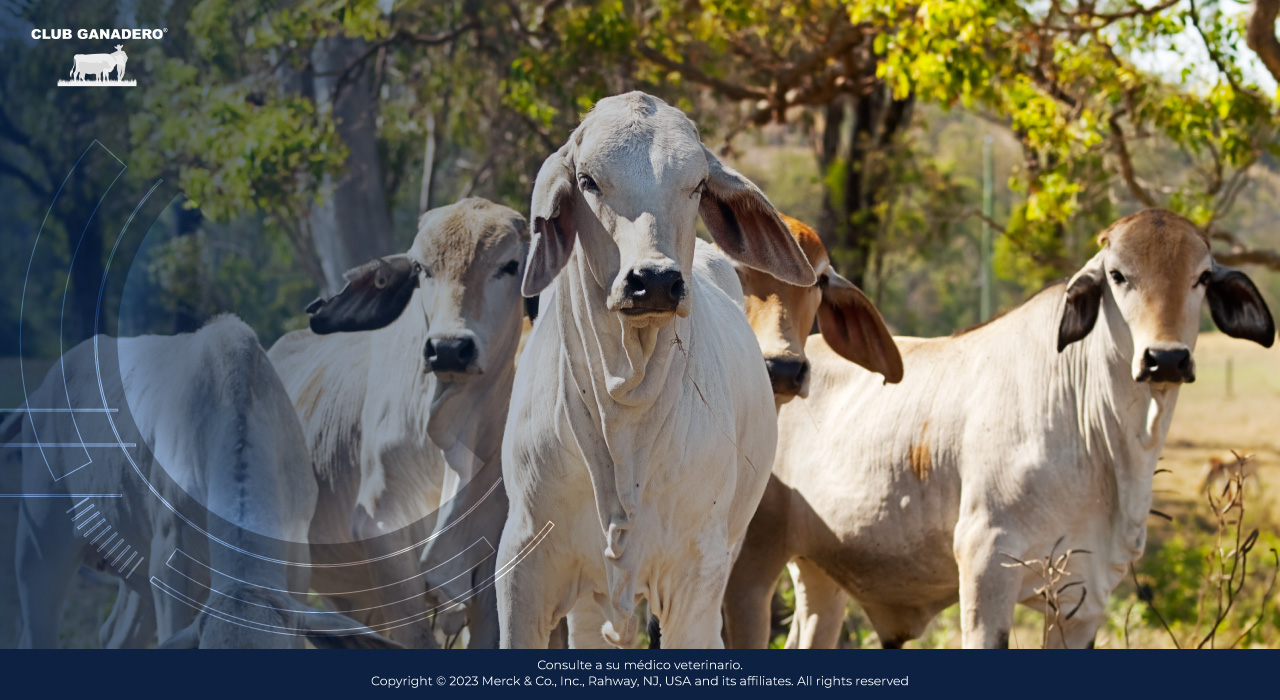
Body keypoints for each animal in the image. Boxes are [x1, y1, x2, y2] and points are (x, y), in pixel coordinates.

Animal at [721, 209, 1269, 652]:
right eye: (1118, 275)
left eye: (1202, 277)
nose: (1166, 359)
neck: (1104, 444)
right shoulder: (987, 569)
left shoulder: (1083, 601)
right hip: (750, 568)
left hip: (820, 576)